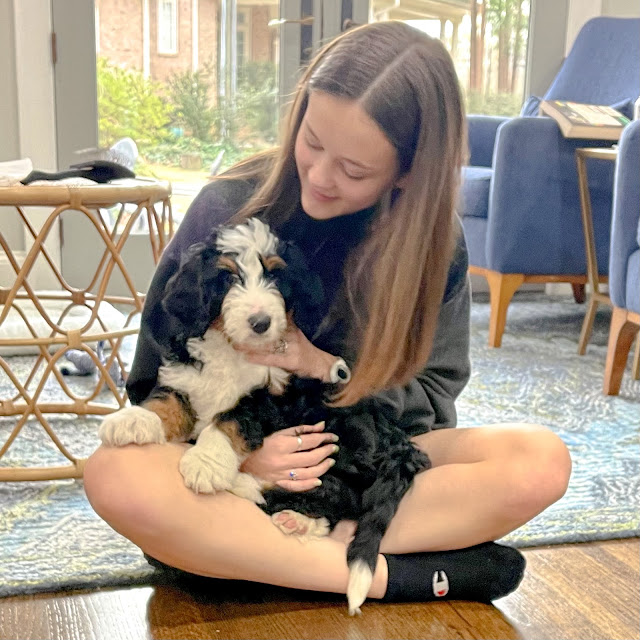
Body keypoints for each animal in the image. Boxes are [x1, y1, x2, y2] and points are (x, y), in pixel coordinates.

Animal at [100, 220, 430, 616]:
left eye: (274, 275)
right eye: (228, 278)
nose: (260, 322)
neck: (232, 350)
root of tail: (401, 445)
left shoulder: (273, 395)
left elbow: (231, 418)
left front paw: (206, 464)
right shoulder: (186, 375)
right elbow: (166, 401)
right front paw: (133, 419)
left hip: (340, 438)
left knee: (342, 496)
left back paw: (262, 495)